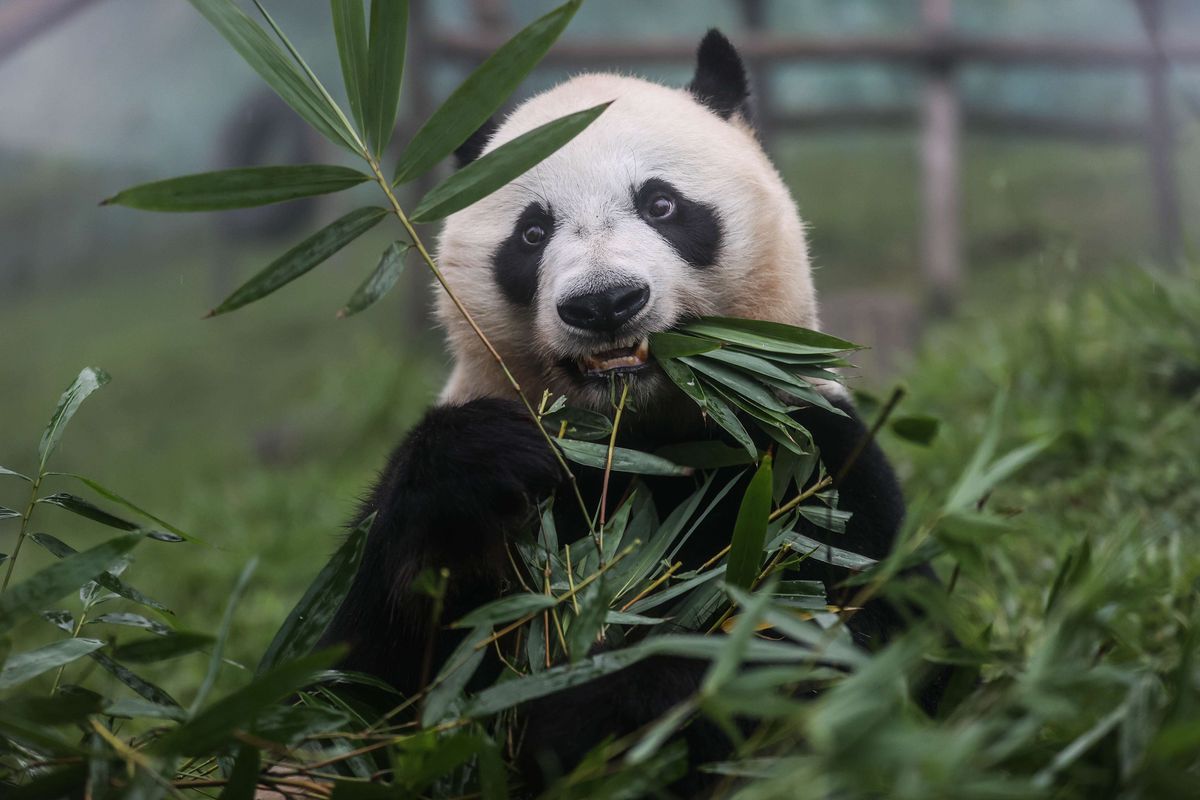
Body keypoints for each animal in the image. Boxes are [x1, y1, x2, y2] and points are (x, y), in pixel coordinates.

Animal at [321, 29, 936, 796]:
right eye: (531, 233)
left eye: (662, 205)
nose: (605, 302)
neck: (635, 437)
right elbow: (364, 688)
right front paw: (479, 464)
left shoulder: (812, 463)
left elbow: (839, 637)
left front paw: (598, 710)